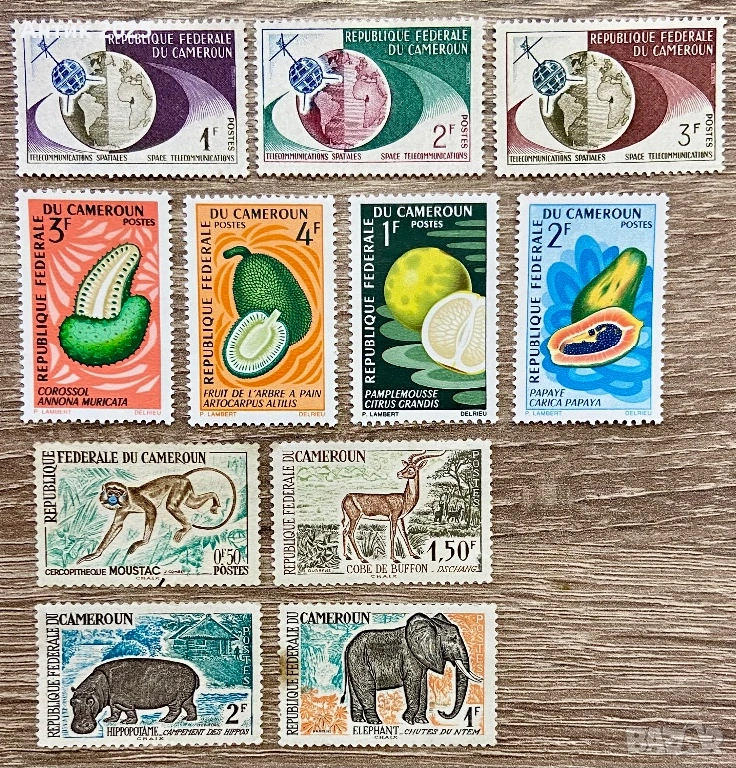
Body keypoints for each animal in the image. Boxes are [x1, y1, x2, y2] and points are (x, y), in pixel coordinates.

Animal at [340, 612, 482, 725]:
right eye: (452, 639)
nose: (441, 712)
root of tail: (348, 646)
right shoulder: (410, 658)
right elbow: (413, 684)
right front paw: (408, 721)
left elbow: (423, 687)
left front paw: (422, 722)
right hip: (359, 660)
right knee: (366, 687)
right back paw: (376, 722)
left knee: (357, 690)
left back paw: (359, 721)